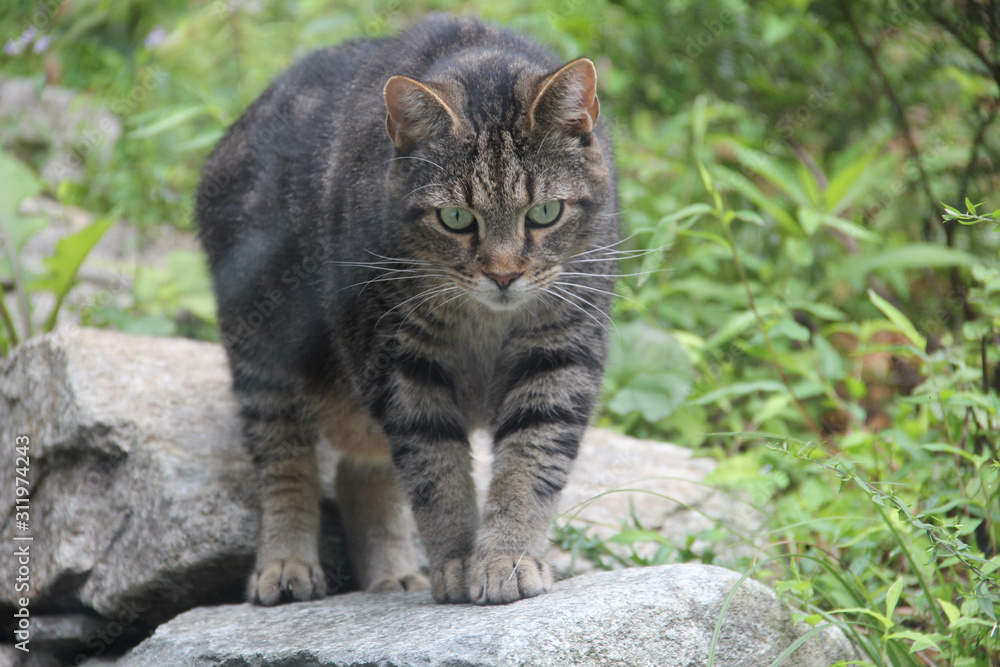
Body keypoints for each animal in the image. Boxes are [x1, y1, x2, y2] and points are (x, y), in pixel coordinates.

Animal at [195, 13, 616, 608]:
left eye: (545, 212)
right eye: (456, 218)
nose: (504, 275)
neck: (484, 322)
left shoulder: (559, 351)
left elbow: (529, 461)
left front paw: (506, 556)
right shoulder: (401, 363)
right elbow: (437, 473)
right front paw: (459, 560)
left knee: (359, 471)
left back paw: (392, 573)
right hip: (263, 354)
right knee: (285, 462)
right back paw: (286, 564)